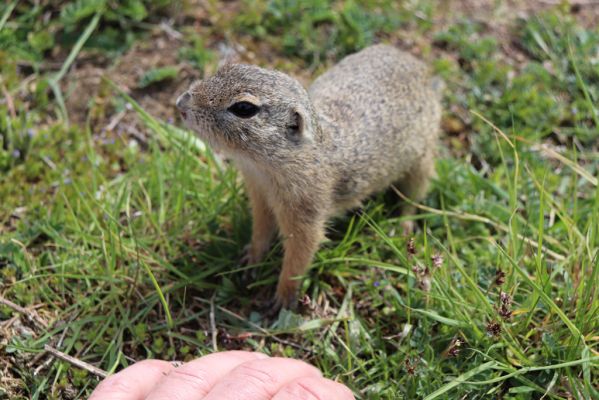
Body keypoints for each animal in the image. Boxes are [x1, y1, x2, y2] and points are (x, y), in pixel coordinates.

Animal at [176, 45, 442, 310]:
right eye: (225, 69)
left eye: (244, 108)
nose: (180, 103)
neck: (263, 168)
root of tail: (419, 66)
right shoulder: (259, 197)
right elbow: (261, 230)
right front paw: (251, 258)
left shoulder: (305, 214)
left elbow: (299, 256)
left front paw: (283, 298)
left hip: (422, 162)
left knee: (413, 199)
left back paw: (403, 225)